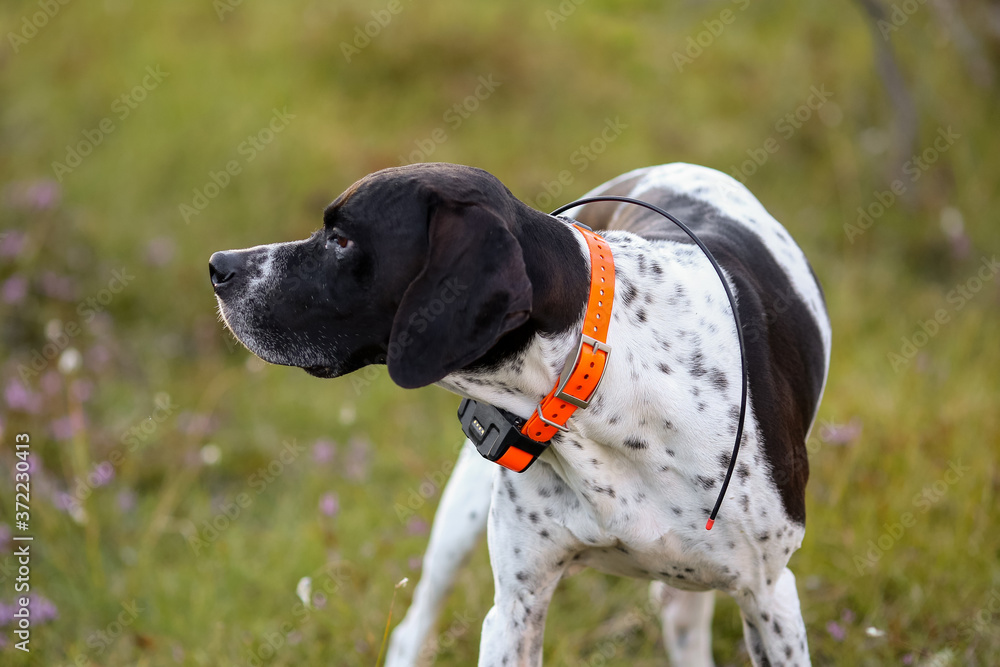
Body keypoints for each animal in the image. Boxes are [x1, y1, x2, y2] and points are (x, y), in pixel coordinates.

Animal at [213, 163, 836, 667]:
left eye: (342, 240)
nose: (219, 265)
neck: (602, 383)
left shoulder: (769, 597)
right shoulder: (515, 610)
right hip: (459, 517)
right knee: (413, 627)